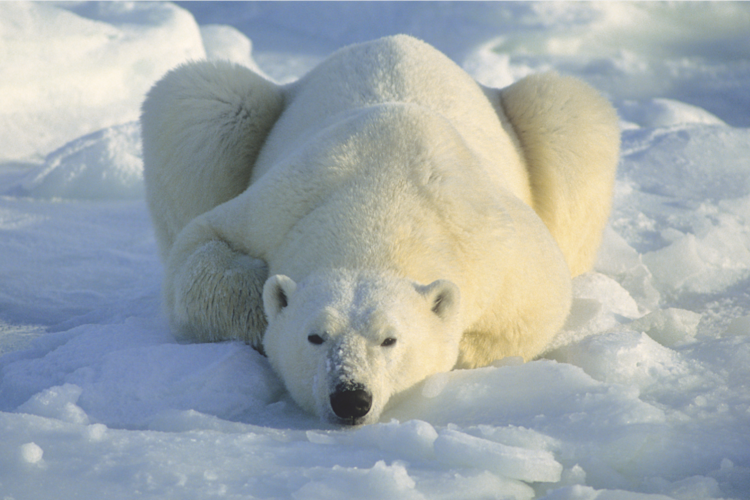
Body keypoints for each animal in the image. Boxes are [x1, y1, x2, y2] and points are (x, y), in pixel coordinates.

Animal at [140, 35, 620, 425]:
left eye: (390, 339)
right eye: (315, 336)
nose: (350, 398)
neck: (382, 202)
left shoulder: (494, 239)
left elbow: (541, 300)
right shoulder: (281, 205)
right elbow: (198, 251)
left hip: (544, 125)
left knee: (568, 115)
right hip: (244, 110)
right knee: (197, 101)